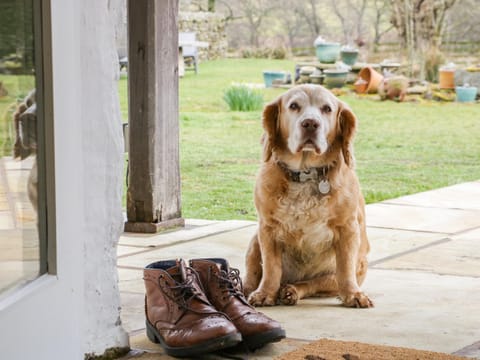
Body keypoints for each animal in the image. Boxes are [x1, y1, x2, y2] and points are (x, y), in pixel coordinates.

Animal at [246, 83, 374, 306]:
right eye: (294, 106)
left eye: (327, 109)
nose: (310, 124)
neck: (305, 173)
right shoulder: (267, 229)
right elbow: (271, 268)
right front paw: (265, 293)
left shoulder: (348, 228)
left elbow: (345, 269)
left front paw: (353, 294)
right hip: (254, 243)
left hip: (339, 274)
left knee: (313, 283)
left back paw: (292, 291)